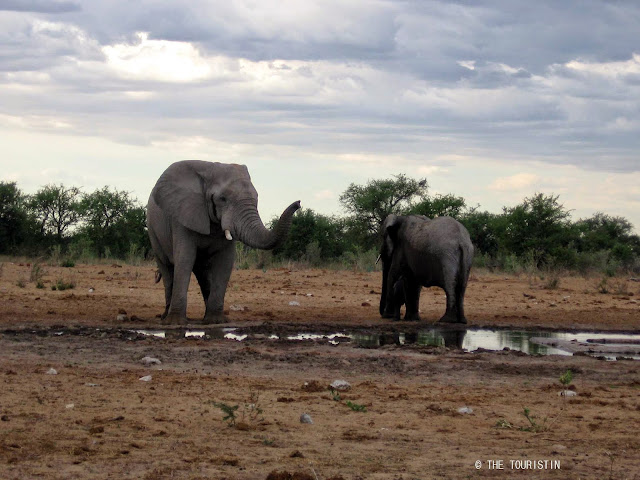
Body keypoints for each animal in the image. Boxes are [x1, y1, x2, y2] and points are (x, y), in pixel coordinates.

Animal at [148, 159, 300, 324]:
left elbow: (225, 262)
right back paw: (165, 317)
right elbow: (184, 259)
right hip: (153, 231)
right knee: (168, 269)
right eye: (222, 199)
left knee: (202, 272)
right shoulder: (182, 217)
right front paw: (176, 323)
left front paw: (216, 321)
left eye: (257, 197)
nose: (298, 203)